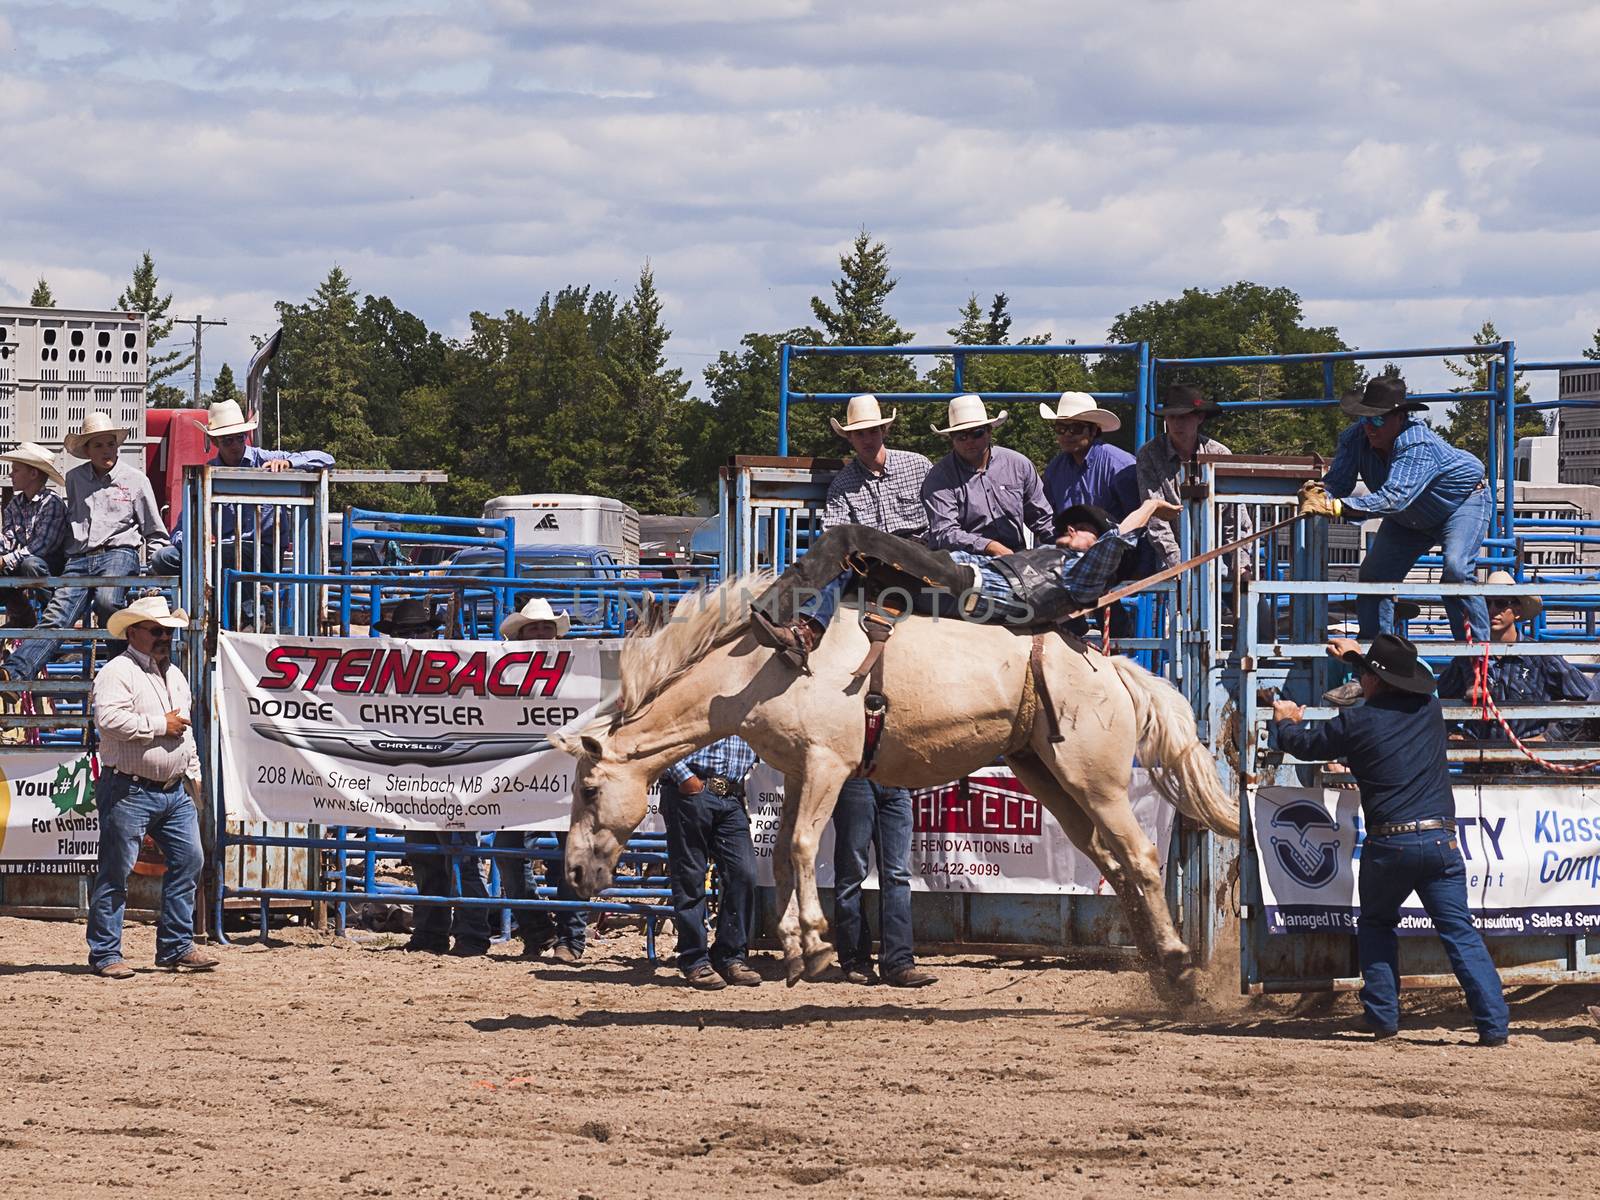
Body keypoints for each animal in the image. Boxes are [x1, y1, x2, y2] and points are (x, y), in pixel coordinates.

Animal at [556, 579, 1241, 998]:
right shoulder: (800, 771)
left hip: (1096, 782)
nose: (573, 874)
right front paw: (794, 947)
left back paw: (1179, 963)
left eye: (588, 790)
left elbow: (801, 847)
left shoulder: (828, 765)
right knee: (1112, 863)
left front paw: (815, 944)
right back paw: (1160, 968)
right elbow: (780, 856)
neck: (759, 671)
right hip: (1048, 779)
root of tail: (1111, 667)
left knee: (1143, 856)